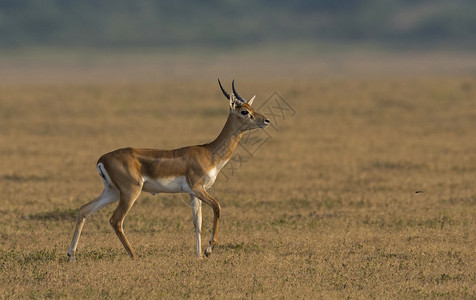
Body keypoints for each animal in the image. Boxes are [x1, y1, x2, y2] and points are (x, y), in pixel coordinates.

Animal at [66, 79, 272, 260]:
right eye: (244, 111)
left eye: (252, 108)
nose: (266, 120)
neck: (209, 152)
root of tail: (102, 159)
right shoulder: (198, 188)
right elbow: (217, 207)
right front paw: (208, 250)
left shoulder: (193, 193)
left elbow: (197, 222)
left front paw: (198, 256)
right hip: (130, 192)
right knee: (115, 220)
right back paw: (135, 256)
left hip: (112, 192)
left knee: (84, 210)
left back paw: (71, 255)